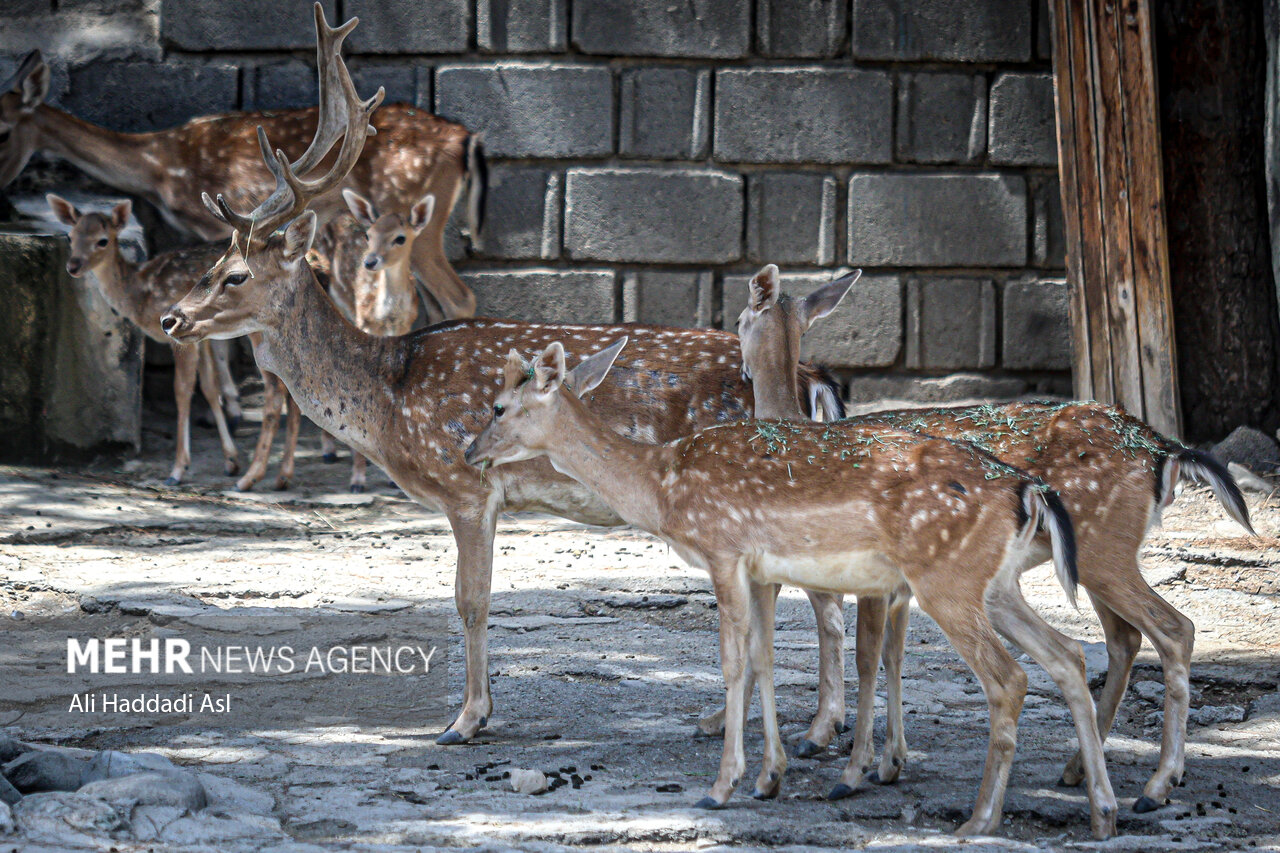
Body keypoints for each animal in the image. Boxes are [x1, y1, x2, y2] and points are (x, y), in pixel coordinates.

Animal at [47, 189, 302, 489]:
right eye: (70, 236)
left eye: (102, 240)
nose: (73, 265)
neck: (140, 293)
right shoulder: (201, 339)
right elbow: (209, 389)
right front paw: (230, 460)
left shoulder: (178, 337)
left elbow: (182, 390)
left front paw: (178, 469)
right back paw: (284, 474)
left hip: (258, 332)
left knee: (276, 390)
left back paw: (258, 476)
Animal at [160, 9, 849, 758]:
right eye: (211, 267)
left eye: (234, 275)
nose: (171, 317)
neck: (388, 397)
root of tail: (814, 378)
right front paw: (475, 712)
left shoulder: (466, 484)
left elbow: (470, 599)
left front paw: (465, 719)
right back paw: (759, 721)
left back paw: (813, 726)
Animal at [465, 338, 1116, 835]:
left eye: (497, 407)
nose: (469, 450)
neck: (661, 488)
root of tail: (1029, 490)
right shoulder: (759, 570)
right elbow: (763, 658)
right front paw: (768, 778)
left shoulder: (723, 551)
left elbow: (732, 662)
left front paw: (721, 786)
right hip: (995, 585)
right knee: (1069, 654)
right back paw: (1102, 812)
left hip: (947, 580)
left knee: (1010, 679)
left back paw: (980, 819)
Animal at [737, 263, 1254, 809]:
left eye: (740, 318)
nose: (743, 371)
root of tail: (1164, 451)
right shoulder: (903, 584)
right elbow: (895, 657)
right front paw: (890, 762)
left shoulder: (878, 581)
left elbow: (867, 657)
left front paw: (855, 770)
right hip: (1099, 556)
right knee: (1124, 638)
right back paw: (1080, 769)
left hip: (1103, 550)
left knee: (1174, 629)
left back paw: (1157, 784)